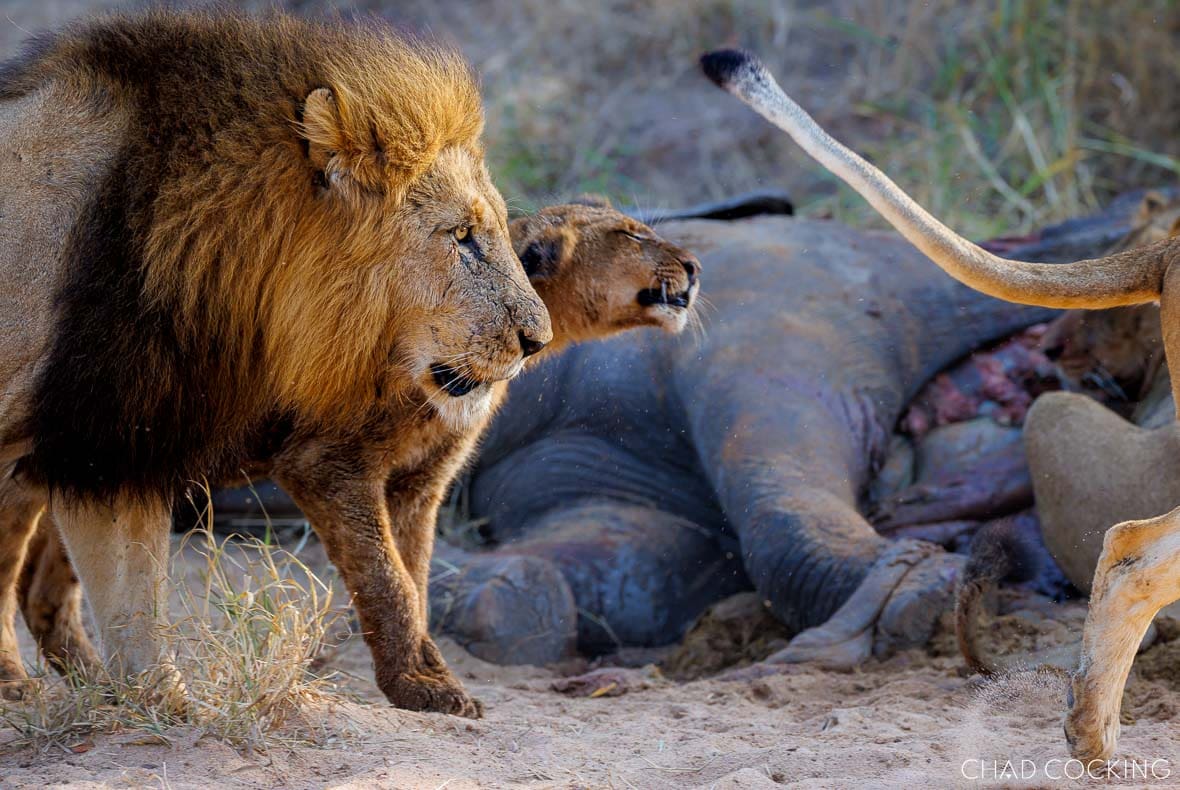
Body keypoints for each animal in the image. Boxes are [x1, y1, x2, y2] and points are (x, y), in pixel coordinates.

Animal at [0, 9, 559, 717]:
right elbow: (387, 577)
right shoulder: (111, 435)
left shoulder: (123, 438)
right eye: (461, 237)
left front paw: (161, 704)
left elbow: (134, 594)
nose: (537, 339)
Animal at [0, 191, 701, 705]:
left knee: (46, 590)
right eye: (634, 235)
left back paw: (103, 684)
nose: (695, 266)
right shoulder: (326, 464)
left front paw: (428, 678)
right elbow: (386, 580)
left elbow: (413, 580)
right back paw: (20, 685)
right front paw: (422, 692)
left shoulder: (420, 483)